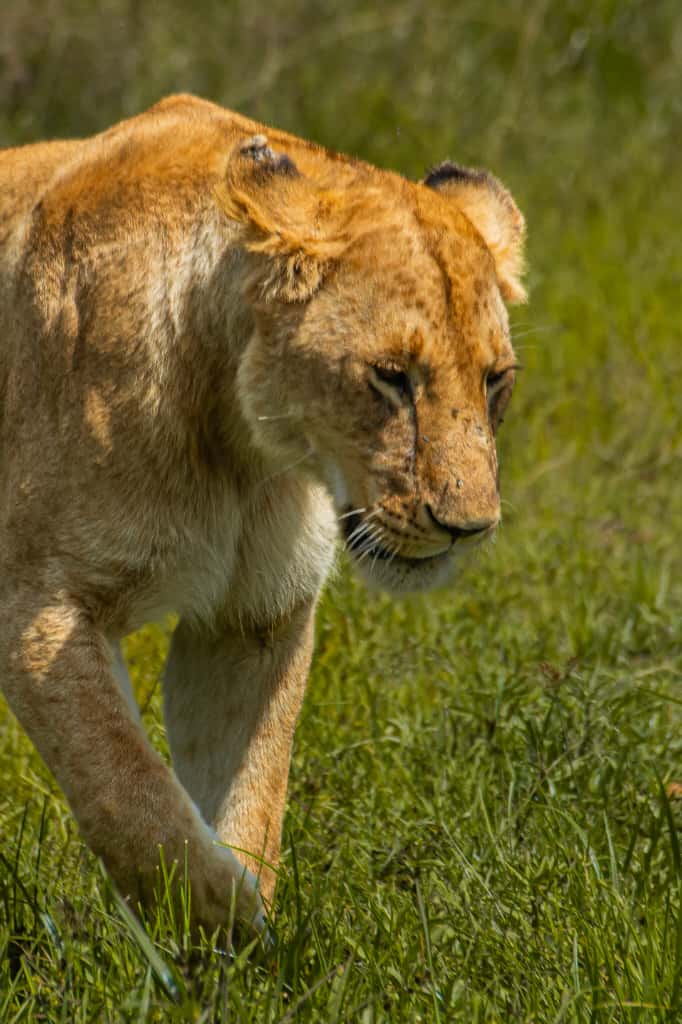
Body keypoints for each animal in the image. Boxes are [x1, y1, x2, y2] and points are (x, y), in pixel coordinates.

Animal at [0, 94, 525, 935]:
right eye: (390, 377)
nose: (467, 527)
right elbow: (131, 797)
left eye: (495, 379)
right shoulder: (42, 606)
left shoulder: (252, 618)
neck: (236, 449)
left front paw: (241, 942)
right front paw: (234, 925)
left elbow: (250, 793)